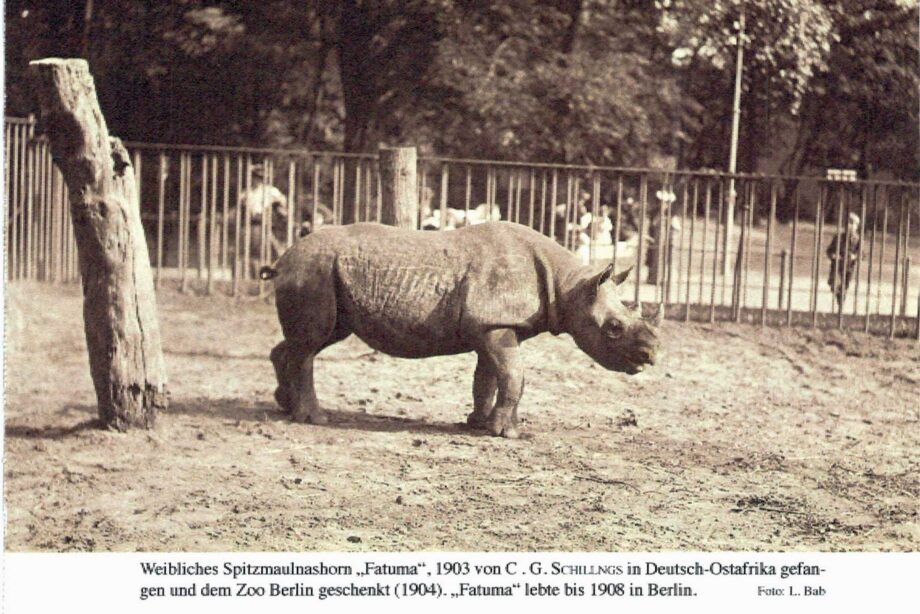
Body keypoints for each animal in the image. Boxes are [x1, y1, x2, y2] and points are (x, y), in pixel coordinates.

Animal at [261, 221, 660, 438]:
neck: (570, 285)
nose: (651, 356)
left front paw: (479, 424)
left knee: (310, 340)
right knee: (311, 343)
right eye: (613, 328)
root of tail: (282, 258)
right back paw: (314, 418)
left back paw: (285, 405)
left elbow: (487, 377)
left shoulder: (491, 327)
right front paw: (506, 433)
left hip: (321, 274)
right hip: (312, 270)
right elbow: (513, 375)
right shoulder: (496, 324)